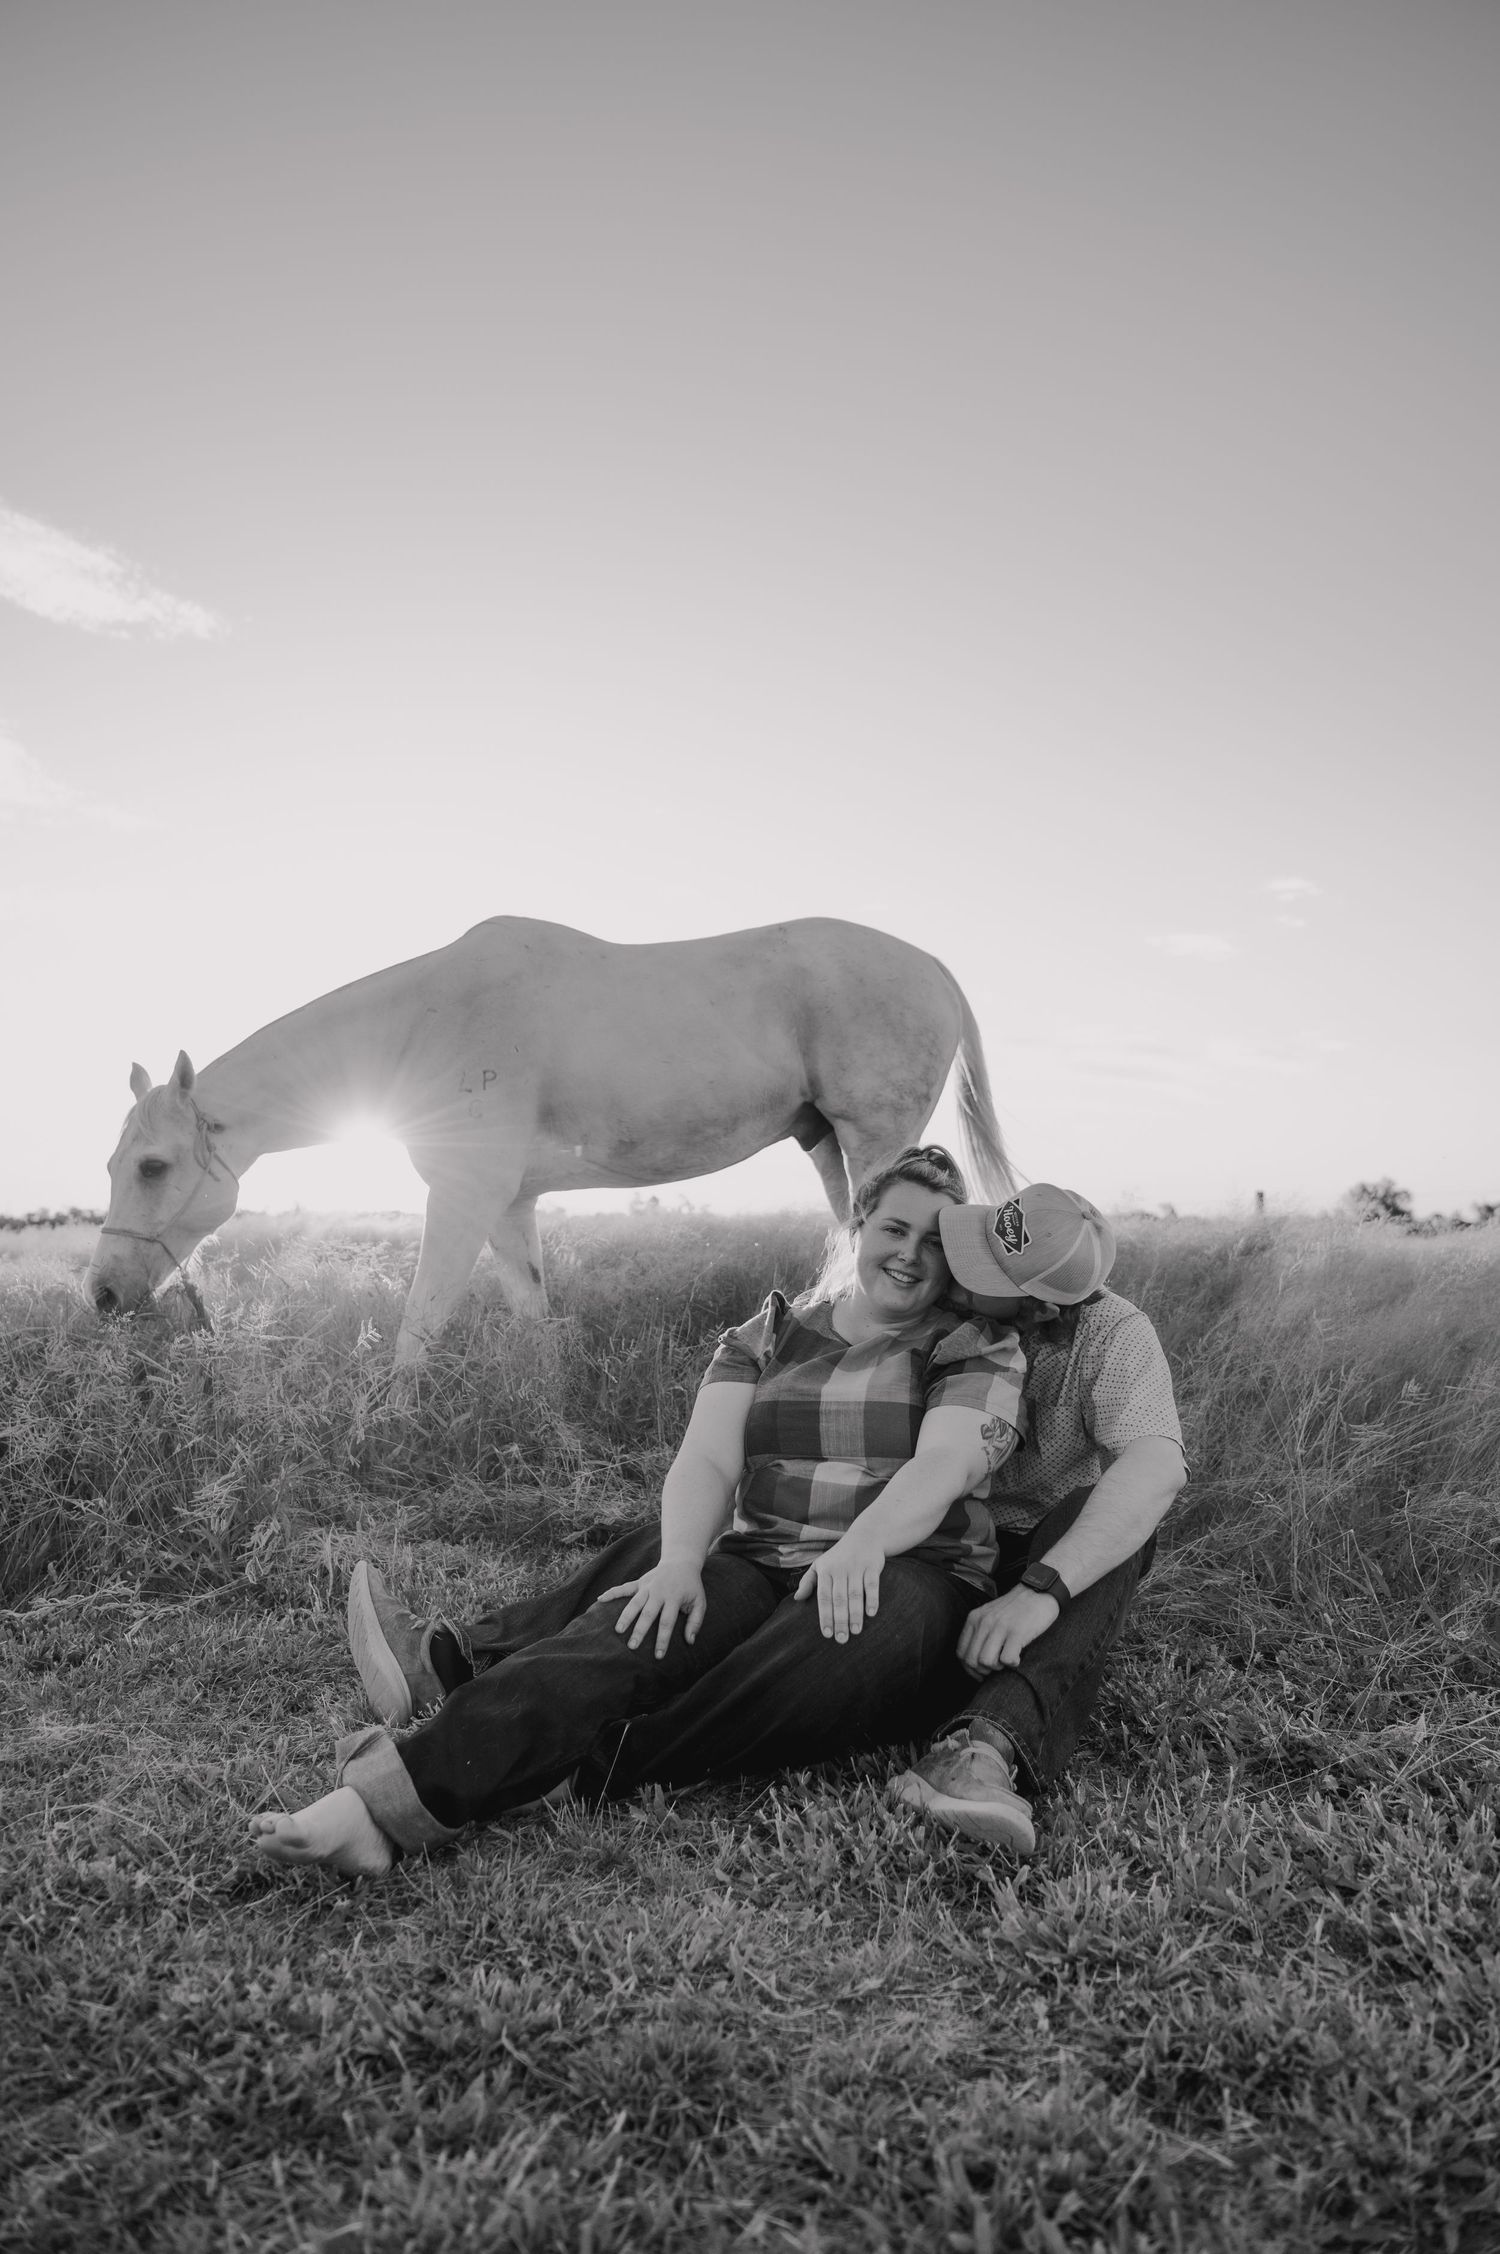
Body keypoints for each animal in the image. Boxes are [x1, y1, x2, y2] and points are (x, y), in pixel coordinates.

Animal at [86, 916, 1012, 1365]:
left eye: (154, 1166)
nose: (99, 1293)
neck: (421, 1025)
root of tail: (931, 965)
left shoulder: (462, 1197)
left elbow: (419, 1324)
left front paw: (377, 1431)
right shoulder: (508, 1204)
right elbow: (532, 1313)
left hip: (876, 1140)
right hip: (824, 1146)